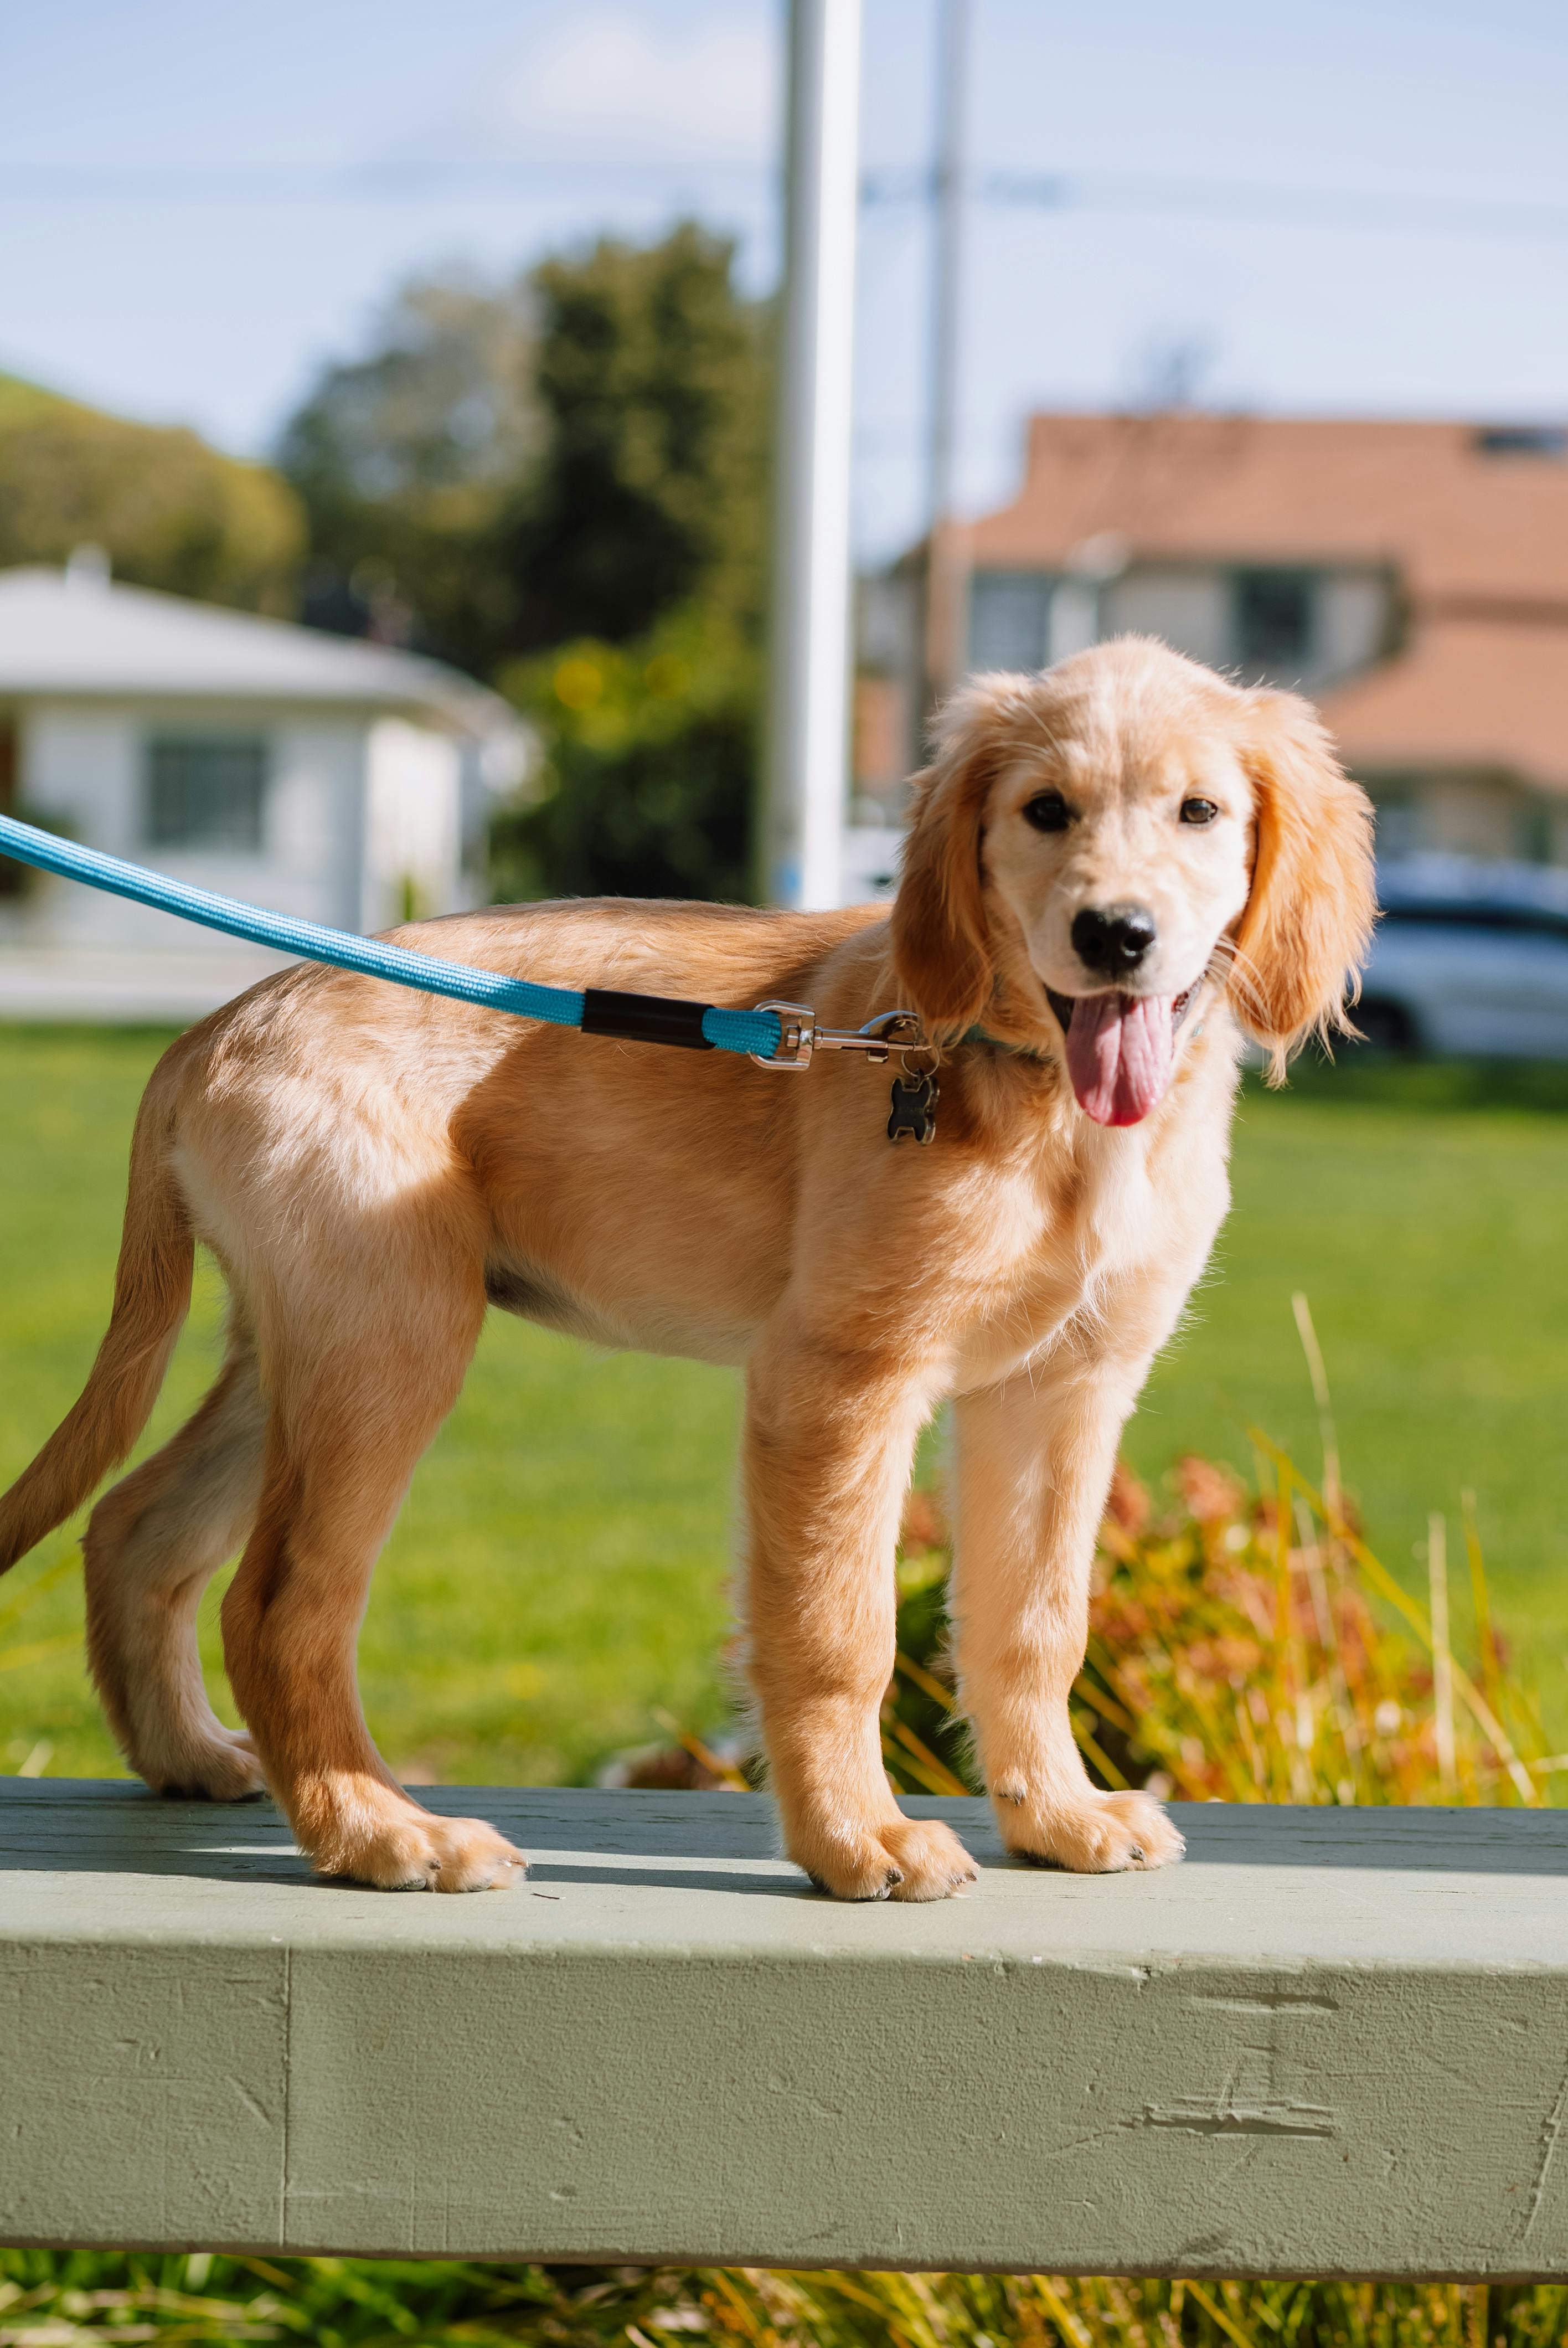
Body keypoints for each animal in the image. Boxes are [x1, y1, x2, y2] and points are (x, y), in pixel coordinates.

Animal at [0, 639, 1370, 1887]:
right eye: (1046, 810)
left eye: (1200, 811)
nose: (1117, 935)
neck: (1029, 1093)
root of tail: (220, 1022)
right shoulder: (839, 1377)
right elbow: (839, 1632)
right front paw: (856, 1840)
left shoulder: (1065, 1386)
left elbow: (1033, 1622)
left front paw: (1058, 1817)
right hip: (394, 1337)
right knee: (280, 1602)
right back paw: (382, 1832)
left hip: (313, 1341)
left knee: (137, 1525)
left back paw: (189, 1755)